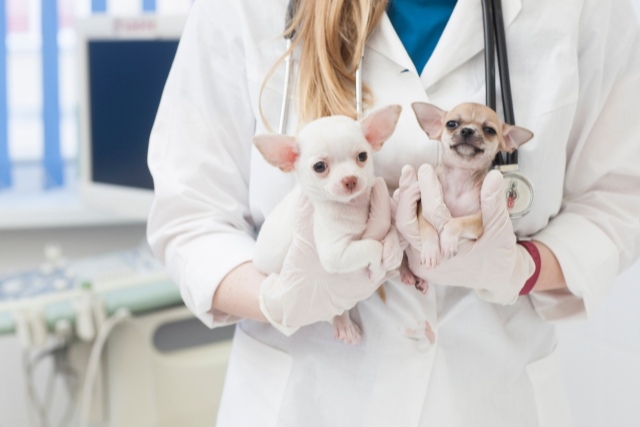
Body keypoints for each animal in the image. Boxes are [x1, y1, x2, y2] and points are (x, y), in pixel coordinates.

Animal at [254, 106, 400, 344]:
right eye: (320, 167)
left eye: (362, 156)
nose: (350, 179)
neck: (352, 206)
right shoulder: (335, 254)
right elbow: (372, 246)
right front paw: (378, 268)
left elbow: (392, 230)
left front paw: (393, 250)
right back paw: (343, 323)